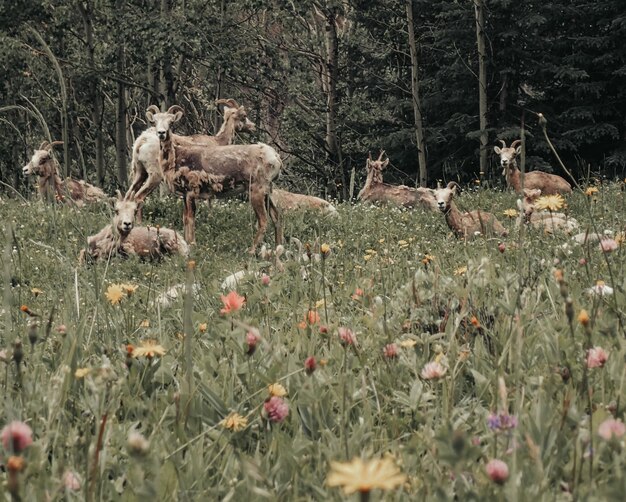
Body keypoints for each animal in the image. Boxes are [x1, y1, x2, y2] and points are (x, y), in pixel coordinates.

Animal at [125, 99, 255, 217]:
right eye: (244, 116)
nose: (253, 127)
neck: (218, 141)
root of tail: (141, 141)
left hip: (139, 173)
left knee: (129, 196)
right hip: (154, 176)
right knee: (138, 197)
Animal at [154, 106, 280, 255]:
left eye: (171, 122)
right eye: (154, 121)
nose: (161, 133)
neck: (176, 158)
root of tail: (276, 158)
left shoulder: (191, 192)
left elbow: (190, 218)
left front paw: (192, 244)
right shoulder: (185, 195)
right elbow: (185, 218)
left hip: (257, 191)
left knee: (263, 221)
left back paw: (251, 251)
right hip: (268, 192)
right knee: (276, 216)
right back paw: (279, 247)